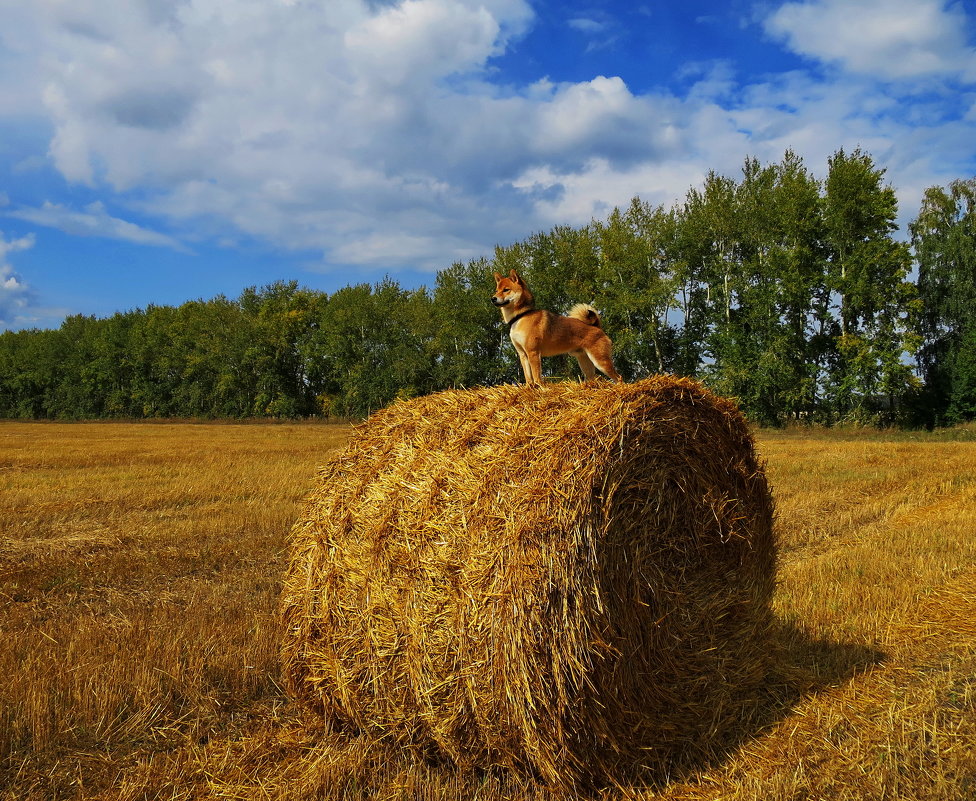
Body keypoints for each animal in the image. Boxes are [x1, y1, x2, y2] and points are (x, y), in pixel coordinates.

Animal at [492, 270, 620, 386]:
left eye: (506, 290)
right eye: (497, 290)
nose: (493, 298)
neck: (521, 316)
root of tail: (597, 327)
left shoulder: (533, 353)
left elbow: (536, 376)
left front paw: (540, 388)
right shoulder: (523, 355)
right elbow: (528, 377)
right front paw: (529, 389)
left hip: (600, 361)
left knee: (618, 377)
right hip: (585, 361)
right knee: (592, 378)